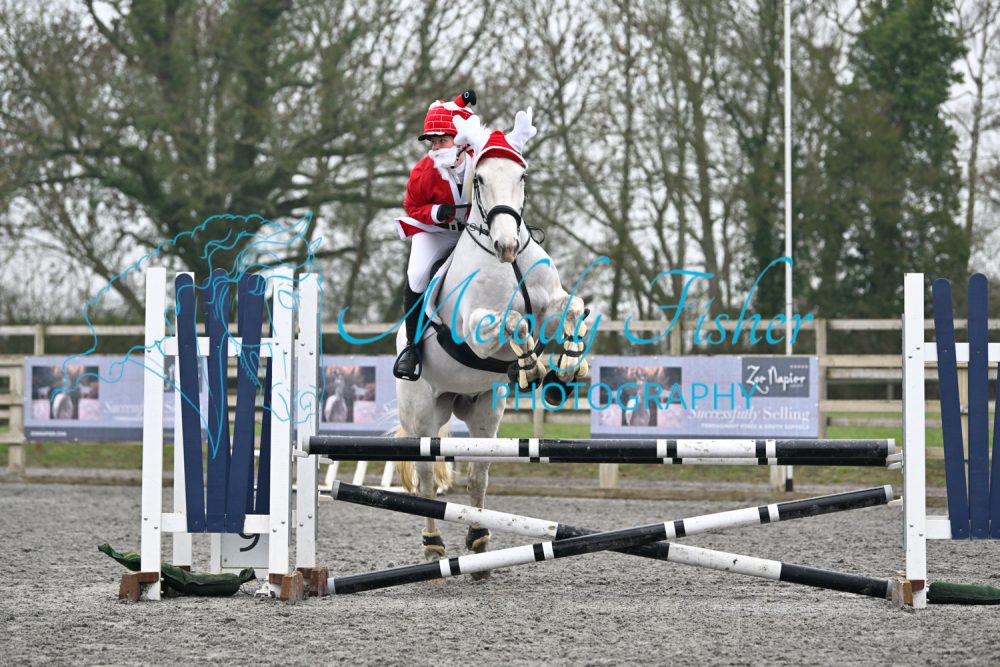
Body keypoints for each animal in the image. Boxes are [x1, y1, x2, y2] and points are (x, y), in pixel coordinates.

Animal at [394, 111, 591, 574]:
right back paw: (433, 546)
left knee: (477, 475)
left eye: (522, 175)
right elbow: (514, 323)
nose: (506, 245)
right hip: (423, 414)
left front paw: (569, 368)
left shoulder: (550, 306)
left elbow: (572, 308)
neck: (506, 263)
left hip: (484, 411)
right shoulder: (476, 330)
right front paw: (533, 368)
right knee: (426, 479)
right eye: (480, 179)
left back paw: (479, 538)